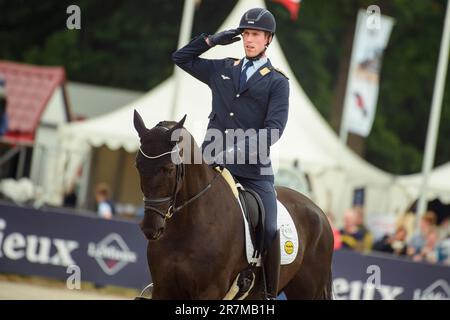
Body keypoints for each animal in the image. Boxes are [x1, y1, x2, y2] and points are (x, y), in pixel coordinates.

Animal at [132, 111, 332, 298]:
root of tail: (320, 213)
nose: (150, 227)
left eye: (169, 168)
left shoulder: (209, 291)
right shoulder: (164, 289)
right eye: (138, 166)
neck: (185, 226)